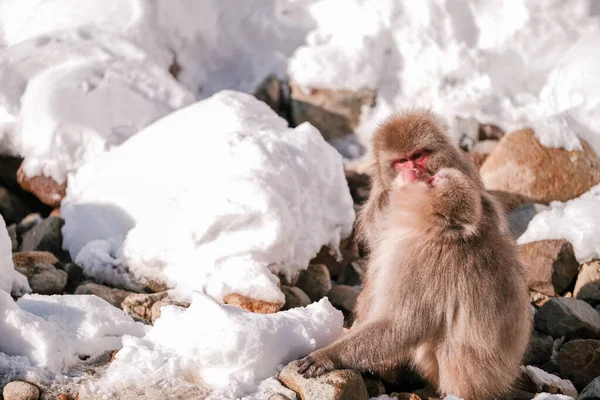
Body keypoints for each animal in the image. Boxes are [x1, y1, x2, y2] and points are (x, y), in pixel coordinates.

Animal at [298, 110, 532, 400]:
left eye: (418, 155)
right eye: (401, 161)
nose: (413, 170)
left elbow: (404, 323)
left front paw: (328, 356)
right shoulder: (382, 205)